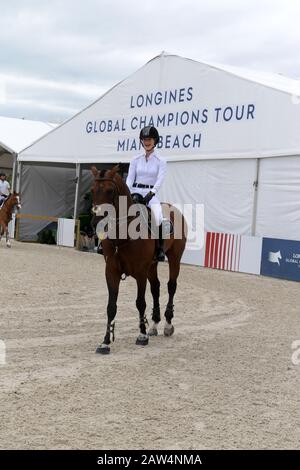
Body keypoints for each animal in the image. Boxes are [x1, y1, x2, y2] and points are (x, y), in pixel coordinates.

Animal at [90, 165, 186, 352]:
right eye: (92, 190)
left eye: (110, 190)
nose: (96, 221)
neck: (123, 234)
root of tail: (174, 209)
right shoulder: (111, 271)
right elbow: (111, 306)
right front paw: (105, 342)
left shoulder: (140, 272)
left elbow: (140, 302)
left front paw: (141, 336)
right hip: (152, 266)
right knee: (156, 287)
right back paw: (154, 325)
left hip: (174, 258)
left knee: (171, 286)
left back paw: (167, 325)